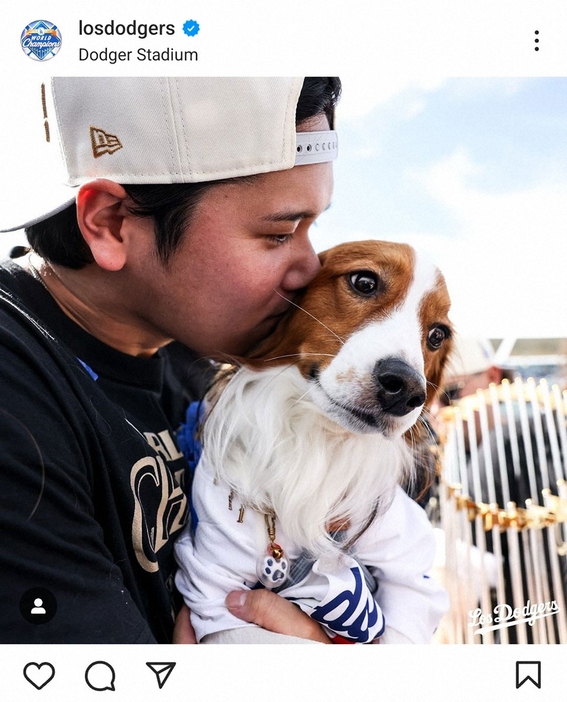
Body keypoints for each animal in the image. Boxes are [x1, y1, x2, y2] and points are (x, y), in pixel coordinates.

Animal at [175, 241, 454, 644]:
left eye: (436, 335)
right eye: (364, 282)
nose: (407, 389)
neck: (316, 440)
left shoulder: (410, 567)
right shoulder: (213, 581)